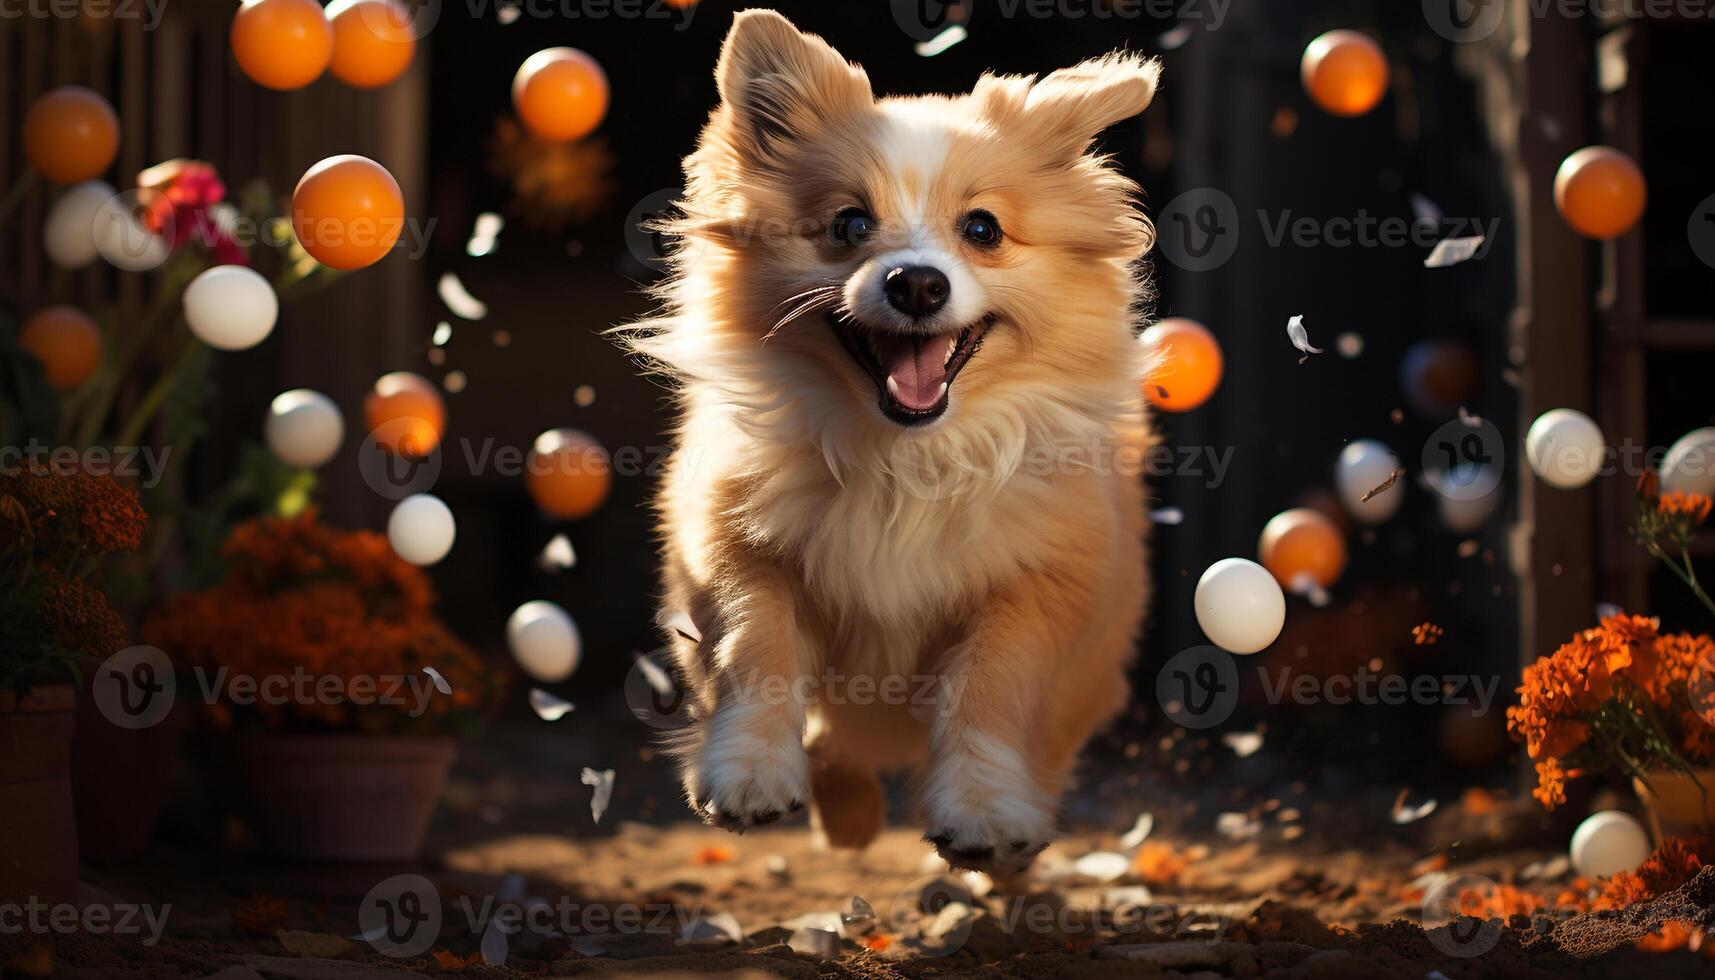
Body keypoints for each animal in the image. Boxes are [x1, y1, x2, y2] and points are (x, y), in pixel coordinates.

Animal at [634, 13, 1166, 875]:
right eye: (848, 224)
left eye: (982, 229)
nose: (916, 282)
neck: (904, 455)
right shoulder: (729, 549)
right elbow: (756, 648)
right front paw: (749, 774)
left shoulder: (1037, 588)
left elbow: (992, 687)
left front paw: (982, 813)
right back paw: (846, 818)